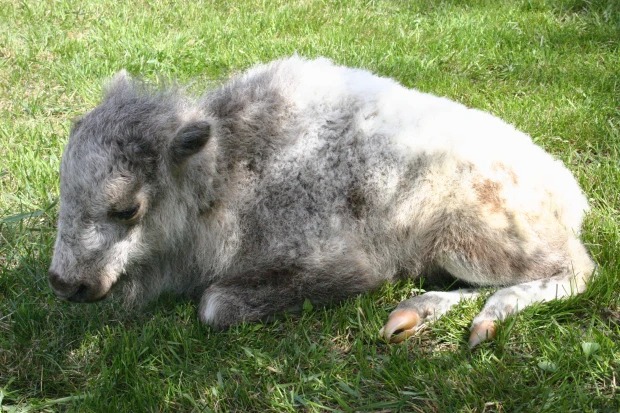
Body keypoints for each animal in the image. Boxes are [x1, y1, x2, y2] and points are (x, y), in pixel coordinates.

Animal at [49, 56, 596, 346]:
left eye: (127, 209)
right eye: (63, 191)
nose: (65, 283)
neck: (229, 168)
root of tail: (566, 188)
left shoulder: (340, 269)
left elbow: (215, 305)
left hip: (466, 243)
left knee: (574, 270)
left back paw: (480, 321)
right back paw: (410, 314)